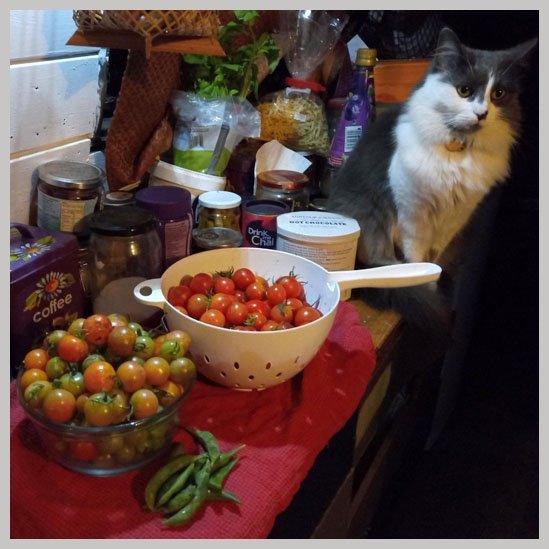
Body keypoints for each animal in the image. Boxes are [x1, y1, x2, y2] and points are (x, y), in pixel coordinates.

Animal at [326, 27, 536, 330]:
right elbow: (416, 254)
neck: (458, 149)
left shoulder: (457, 217)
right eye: (464, 90)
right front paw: (421, 287)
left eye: (498, 94)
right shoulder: (414, 213)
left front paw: (431, 283)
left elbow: (434, 258)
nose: (482, 114)